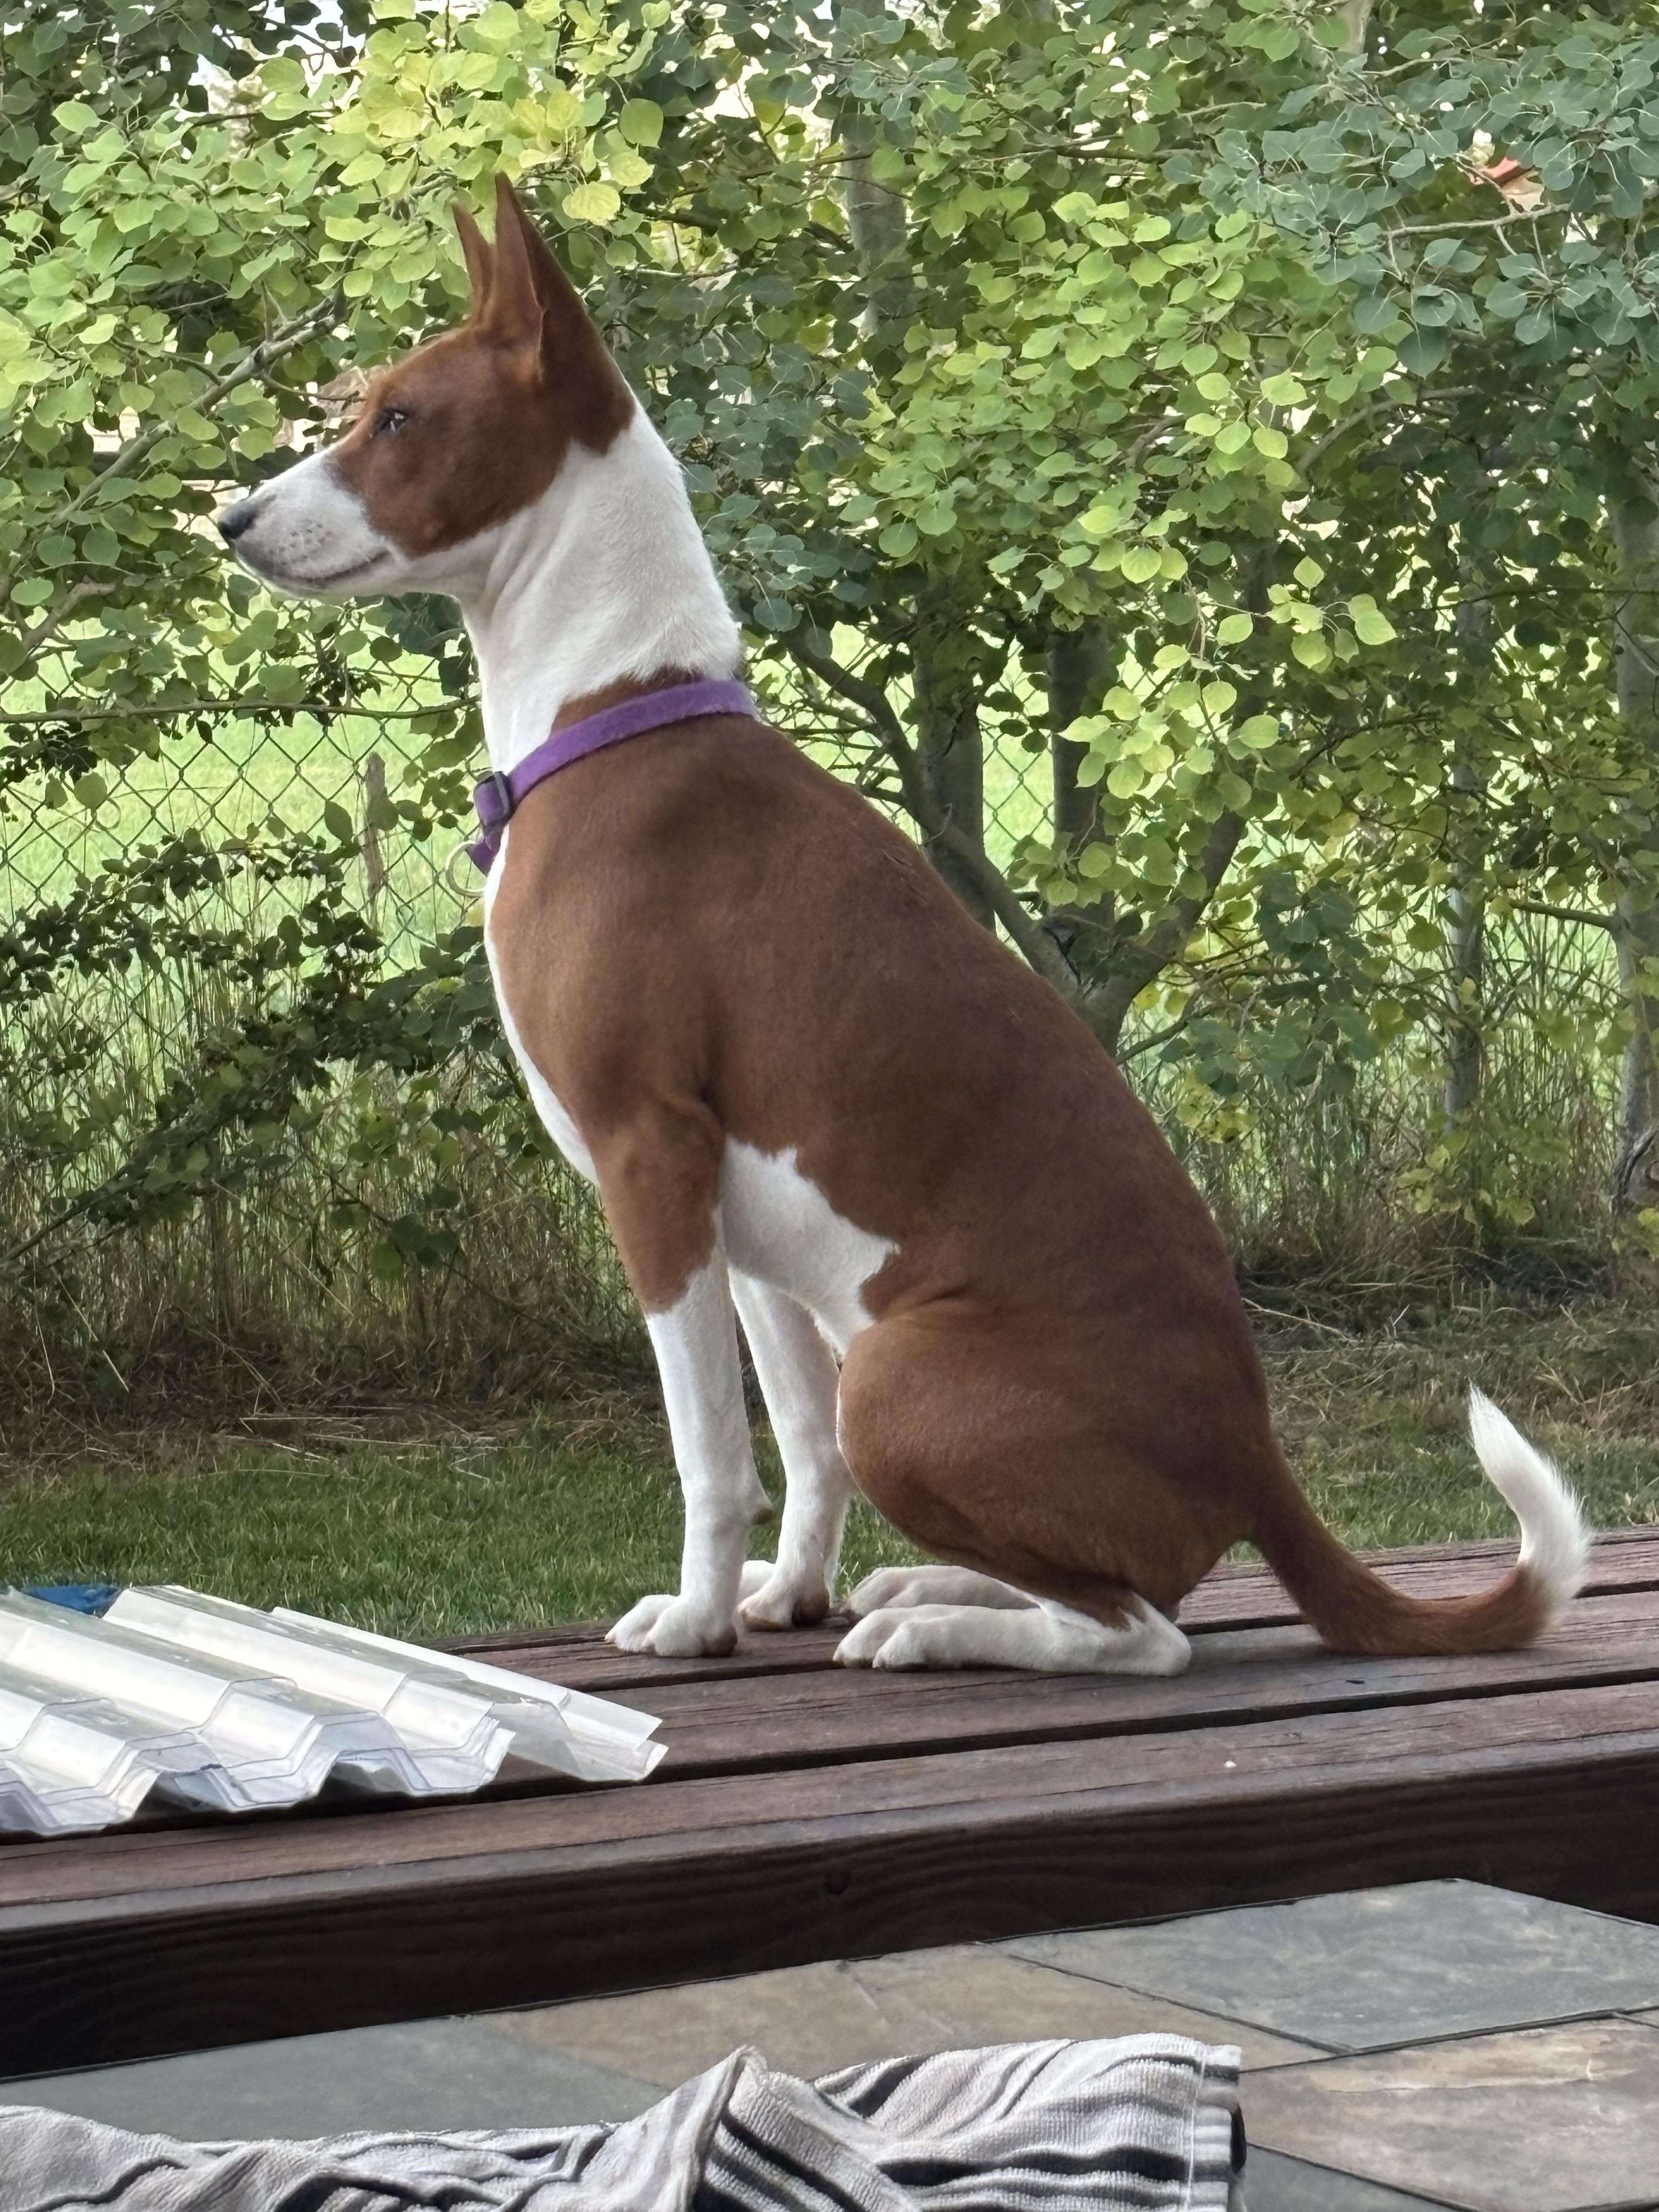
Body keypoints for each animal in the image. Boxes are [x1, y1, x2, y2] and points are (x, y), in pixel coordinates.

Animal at [217, 176, 1587, 1672]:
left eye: (398, 417)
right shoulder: (736, 1212)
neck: (614, 711)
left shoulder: (649, 1160)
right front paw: (778, 1596)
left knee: (1139, 1632)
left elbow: (711, 1450)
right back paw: (925, 1588)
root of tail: (1260, 1464)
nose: (229, 518)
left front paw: (694, 1618)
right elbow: (795, 1443)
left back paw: (943, 1628)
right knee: (1115, 1583)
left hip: (901, 1368)